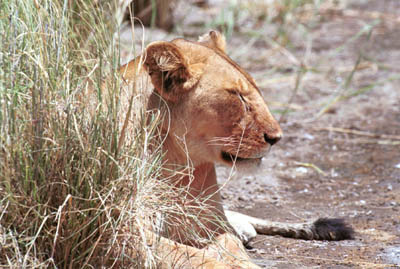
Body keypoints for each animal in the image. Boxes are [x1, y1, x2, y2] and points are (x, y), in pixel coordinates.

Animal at [115, 30, 354, 266]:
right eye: (237, 96)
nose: (276, 138)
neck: (175, 160)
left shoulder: (210, 224)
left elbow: (230, 247)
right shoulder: (125, 233)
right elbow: (195, 258)